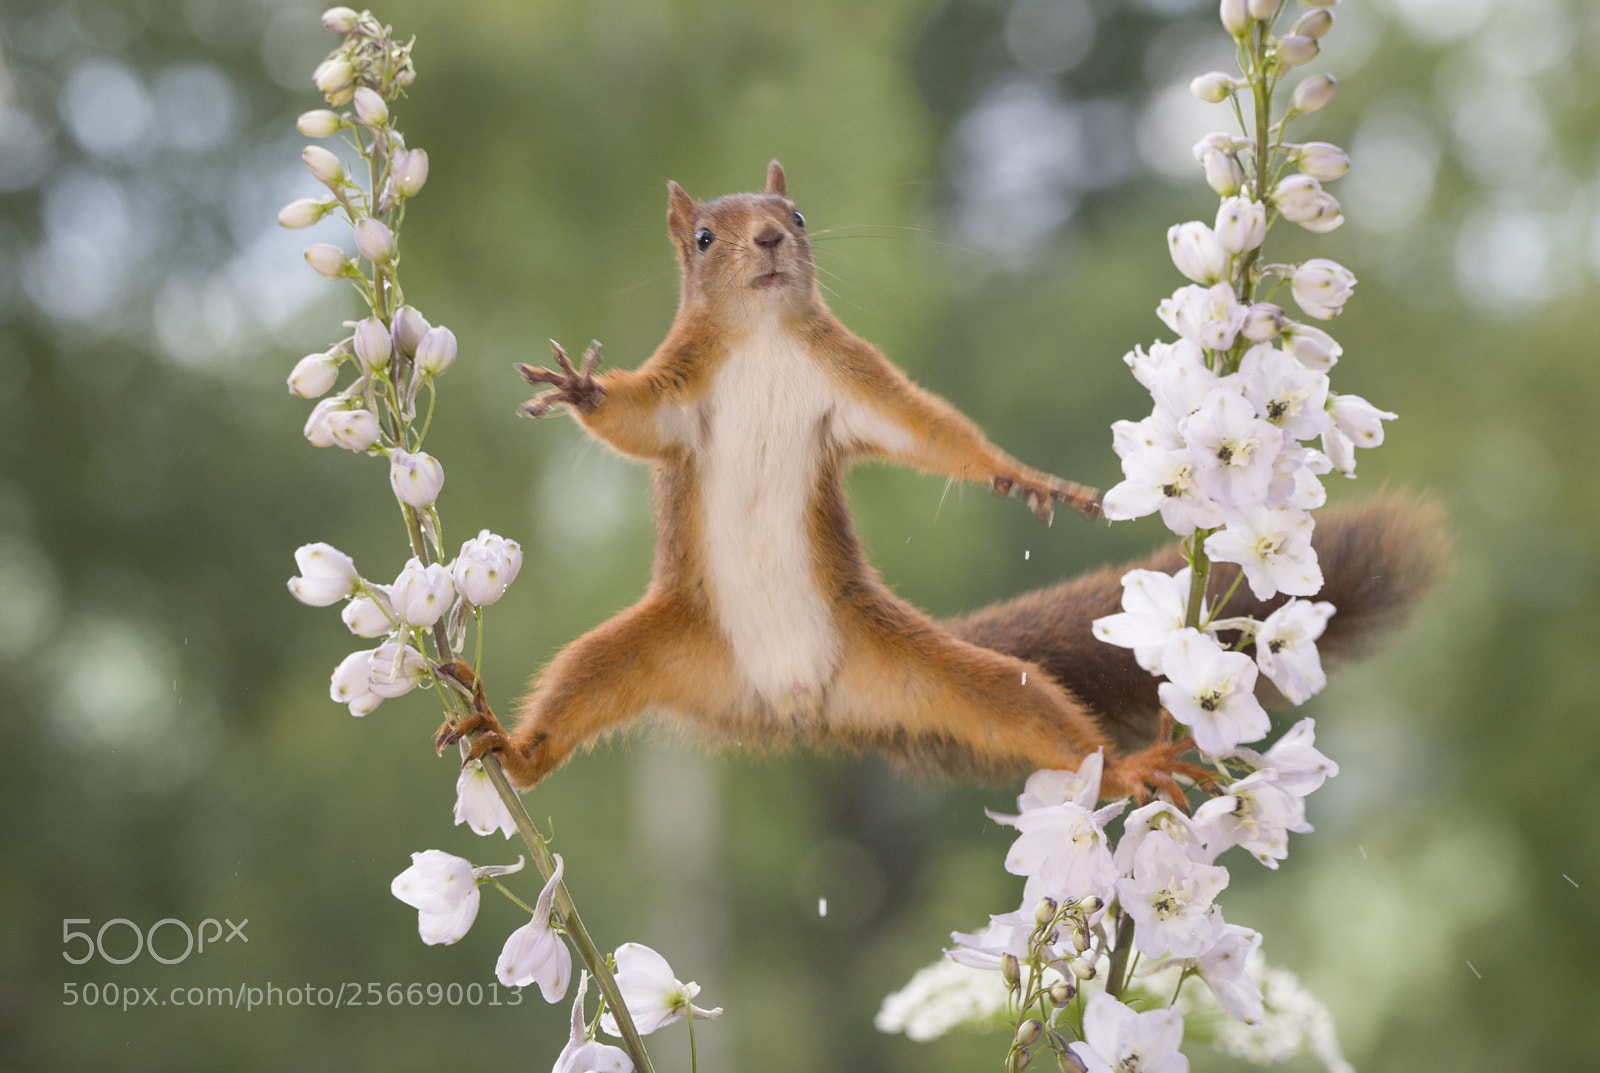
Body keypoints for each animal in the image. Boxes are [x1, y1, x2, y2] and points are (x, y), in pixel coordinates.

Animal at [438, 161, 1447, 802]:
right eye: (702, 237)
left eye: (796, 218)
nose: (767, 239)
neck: (762, 341)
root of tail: (792, 712)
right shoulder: (681, 395)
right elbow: (631, 418)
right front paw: (578, 389)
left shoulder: (854, 386)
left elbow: (935, 435)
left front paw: (1024, 476)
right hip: (654, 646)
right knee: (575, 689)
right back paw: (509, 749)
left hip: (926, 671)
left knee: (1025, 705)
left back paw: (1124, 772)